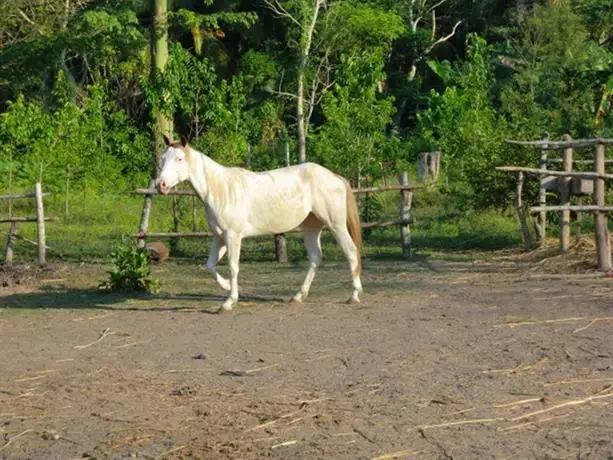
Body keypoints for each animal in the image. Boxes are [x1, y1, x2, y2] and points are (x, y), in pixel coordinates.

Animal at [155, 135, 360, 310]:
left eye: (179, 158)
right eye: (163, 158)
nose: (160, 185)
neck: (222, 190)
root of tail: (336, 177)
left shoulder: (233, 236)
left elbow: (233, 266)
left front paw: (229, 302)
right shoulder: (219, 237)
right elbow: (210, 265)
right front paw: (227, 286)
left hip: (336, 226)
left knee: (351, 253)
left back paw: (354, 295)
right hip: (311, 228)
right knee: (315, 258)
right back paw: (298, 296)